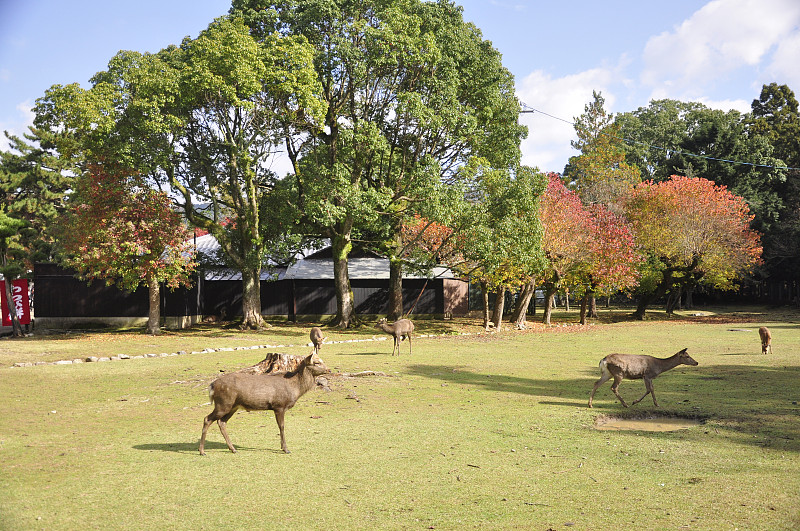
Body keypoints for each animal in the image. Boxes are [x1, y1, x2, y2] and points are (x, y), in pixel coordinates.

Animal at [202, 352, 330, 456]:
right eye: (317, 362)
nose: (329, 370)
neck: (295, 388)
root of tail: (211, 386)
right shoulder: (279, 406)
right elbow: (281, 426)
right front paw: (285, 449)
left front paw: (283, 447)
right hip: (223, 404)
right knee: (207, 419)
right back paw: (202, 451)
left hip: (233, 406)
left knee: (221, 422)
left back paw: (233, 449)